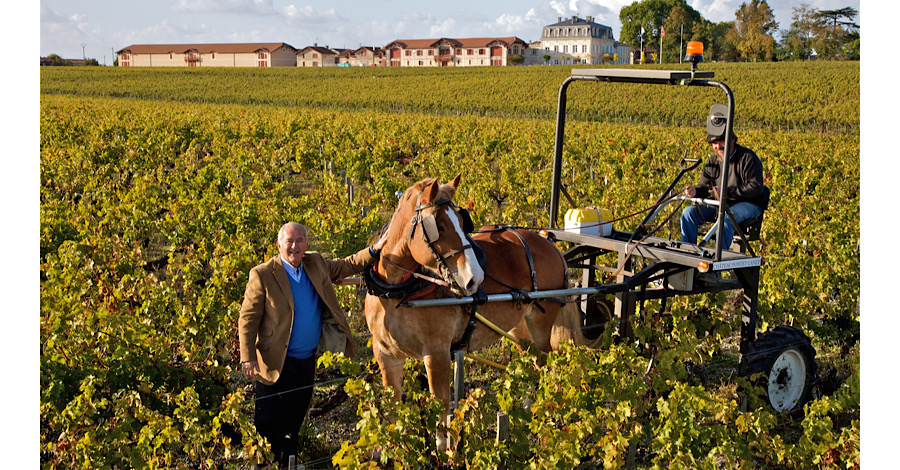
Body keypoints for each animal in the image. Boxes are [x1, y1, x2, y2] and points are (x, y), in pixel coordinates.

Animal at [362, 173, 568, 448]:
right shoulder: (385, 354)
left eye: (461, 222)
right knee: (529, 362)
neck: (396, 290)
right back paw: (525, 415)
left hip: (540, 324)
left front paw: (444, 451)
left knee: (543, 364)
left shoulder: (436, 354)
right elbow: (393, 409)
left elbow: (440, 409)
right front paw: (393, 447)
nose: (475, 278)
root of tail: (549, 244)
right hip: (519, 328)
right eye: (438, 227)